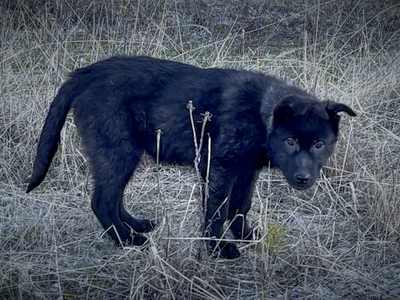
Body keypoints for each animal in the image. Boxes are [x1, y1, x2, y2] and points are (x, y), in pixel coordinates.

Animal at [26, 56, 354, 258]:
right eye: (290, 141)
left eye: (319, 145)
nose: (303, 179)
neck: (261, 116)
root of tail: (82, 74)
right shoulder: (218, 168)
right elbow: (217, 211)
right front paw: (219, 248)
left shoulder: (246, 170)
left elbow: (240, 206)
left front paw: (245, 236)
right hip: (118, 151)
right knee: (102, 201)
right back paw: (128, 240)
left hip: (124, 154)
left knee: (113, 197)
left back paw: (135, 226)